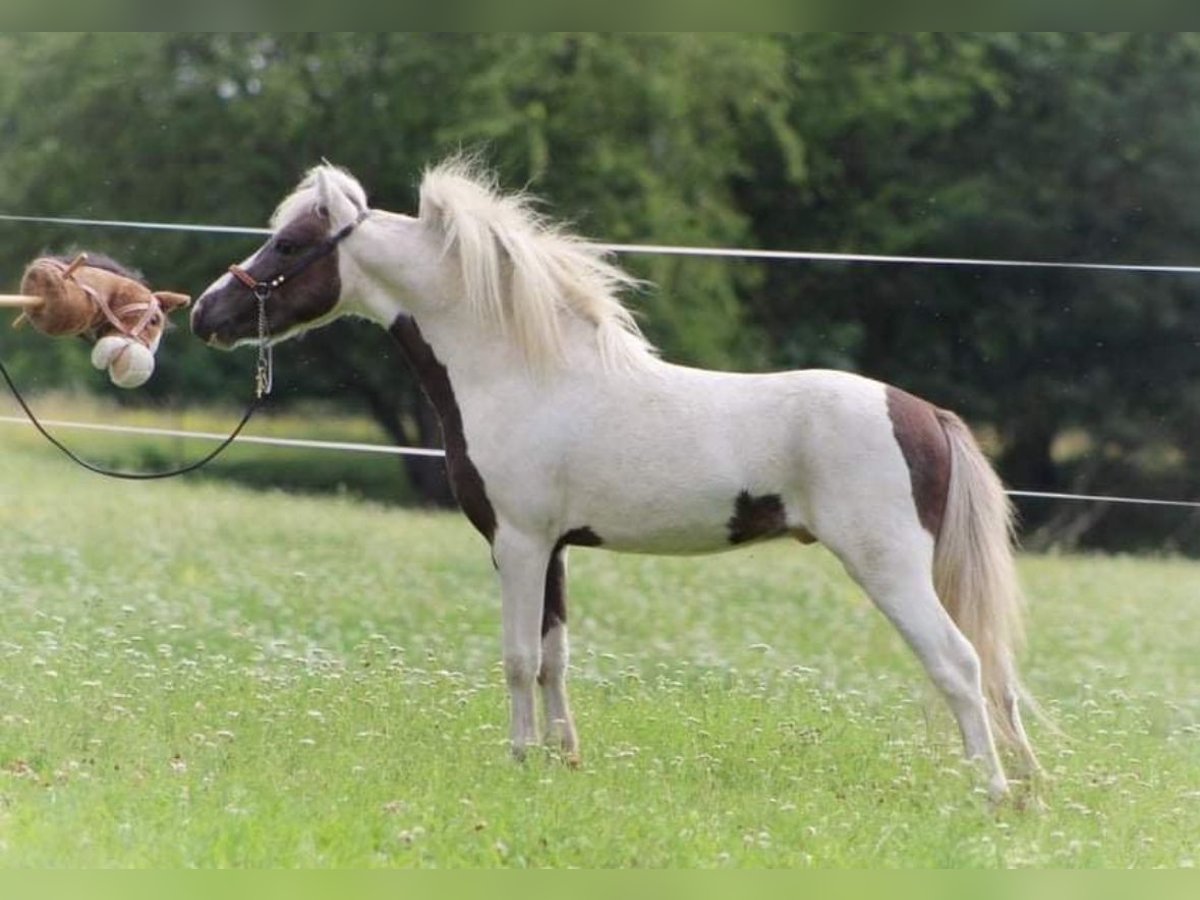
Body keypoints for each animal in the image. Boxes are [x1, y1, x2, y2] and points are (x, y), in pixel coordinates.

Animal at [190, 157, 1041, 800]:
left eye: (290, 244)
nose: (206, 313)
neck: (524, 374)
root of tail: (924, 413)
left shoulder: (519, 544)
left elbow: (518, 658)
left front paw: (518, 763)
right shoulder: (557, 549)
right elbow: (555, 657)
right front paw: (562, 761)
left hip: (889, 568)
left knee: (960, 665)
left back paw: (992, 794)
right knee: (995, 673)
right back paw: (1030, 791)